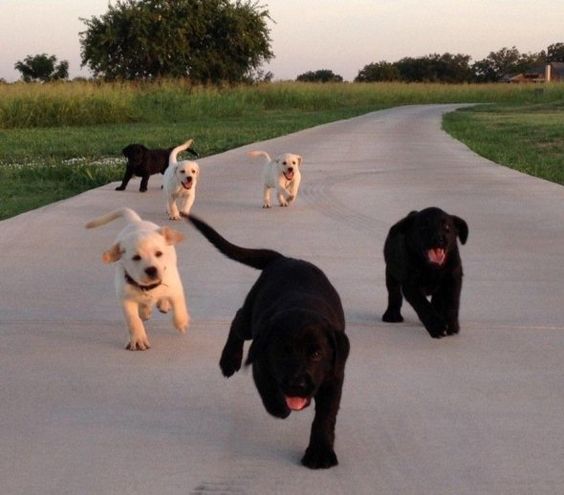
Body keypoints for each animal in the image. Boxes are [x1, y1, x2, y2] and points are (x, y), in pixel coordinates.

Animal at [85, 207, 188, 350]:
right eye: (136, 258)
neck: (148, 287)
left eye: (159, 253)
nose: (151, 270)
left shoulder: (175, 287)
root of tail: (137, 222)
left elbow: (179, 305)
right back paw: (145, 311)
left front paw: (181, 322)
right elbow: (133, 320)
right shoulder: (126, 299)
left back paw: (163, 304)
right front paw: (138, 339)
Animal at [187, 216, 350, 468]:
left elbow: (325, 416)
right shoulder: (260, 362)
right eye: (282, 352)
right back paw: (229, 361)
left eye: (316, 354)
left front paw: (320, 453)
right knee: (237, 321)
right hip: (250, 315)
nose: (297, 385)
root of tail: (284, 258)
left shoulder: (334, 376)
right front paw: (281, 408)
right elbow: (269, 391)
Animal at [384, 207, 468, 340]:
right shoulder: (411, 285)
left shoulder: (453, 277)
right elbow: (423, 305)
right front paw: (436, 327)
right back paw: (392, 315)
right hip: (391, 273)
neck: (432, 269)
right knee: (394, 294)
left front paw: (451, 326)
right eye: (423, 227)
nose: (438, 239)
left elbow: (451, 303)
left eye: (447, 227)